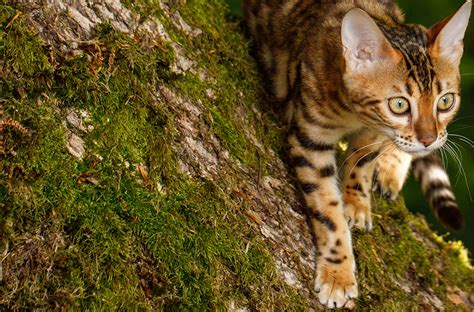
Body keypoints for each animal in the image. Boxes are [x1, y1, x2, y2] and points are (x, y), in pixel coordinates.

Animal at [244, 0, 470, 308]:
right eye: (399, 104)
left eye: (445, 101)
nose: (429, 139)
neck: (353, 114)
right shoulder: (309, 138)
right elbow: (328, 211)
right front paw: (337, 274)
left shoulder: (376, 131)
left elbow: (361, 164)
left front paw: (356, 203)